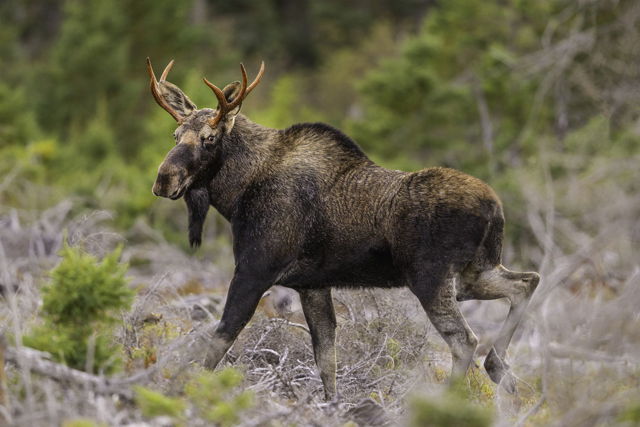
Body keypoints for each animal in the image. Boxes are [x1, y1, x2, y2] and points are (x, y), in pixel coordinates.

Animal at [147, 58, 540, 399]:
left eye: (209, 138)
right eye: (175, 134)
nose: (164, 179)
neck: (237, 193)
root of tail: (495, 206)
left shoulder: (254, 270)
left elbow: (219, 340)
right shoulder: (312, 285)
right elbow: (326, 360)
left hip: (432, 278)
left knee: (465, 341)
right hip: (474, 274)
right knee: (526, 282)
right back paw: (501, 372)